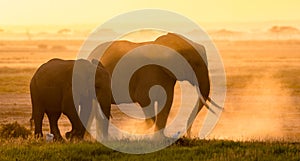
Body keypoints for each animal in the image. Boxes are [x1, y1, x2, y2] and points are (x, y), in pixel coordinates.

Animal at [88, 32, 218, 138]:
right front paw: (138, 129)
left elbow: (166, 103)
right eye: (195, 64)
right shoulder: (146, 74)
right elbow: (145, 100)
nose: (190, 135)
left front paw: (158, 139)